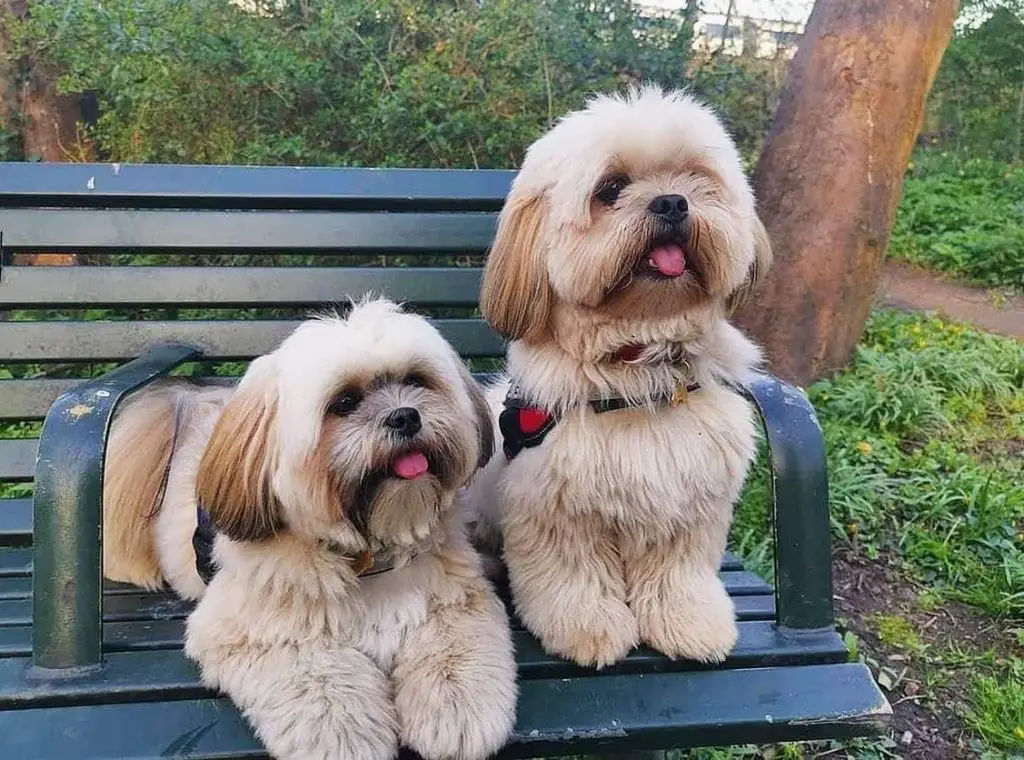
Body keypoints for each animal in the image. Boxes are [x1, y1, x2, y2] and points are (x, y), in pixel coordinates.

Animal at [102, 299, 516, 760]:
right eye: (344, 402)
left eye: (415, 380)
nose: (405, 416)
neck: (366, 555)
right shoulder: (254, 634)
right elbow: (320, 679)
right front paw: (345, 734)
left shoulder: (454, 598)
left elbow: (452, 650)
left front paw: (456, 705)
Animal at [468, 86, 770, 667]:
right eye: (609, 189)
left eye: (696, 178)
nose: (672, 202)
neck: (638, 367)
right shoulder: (557, 508)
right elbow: (575, 580)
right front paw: (589, 628)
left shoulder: (691, 505)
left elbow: (678, 575)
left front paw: (689, 623)